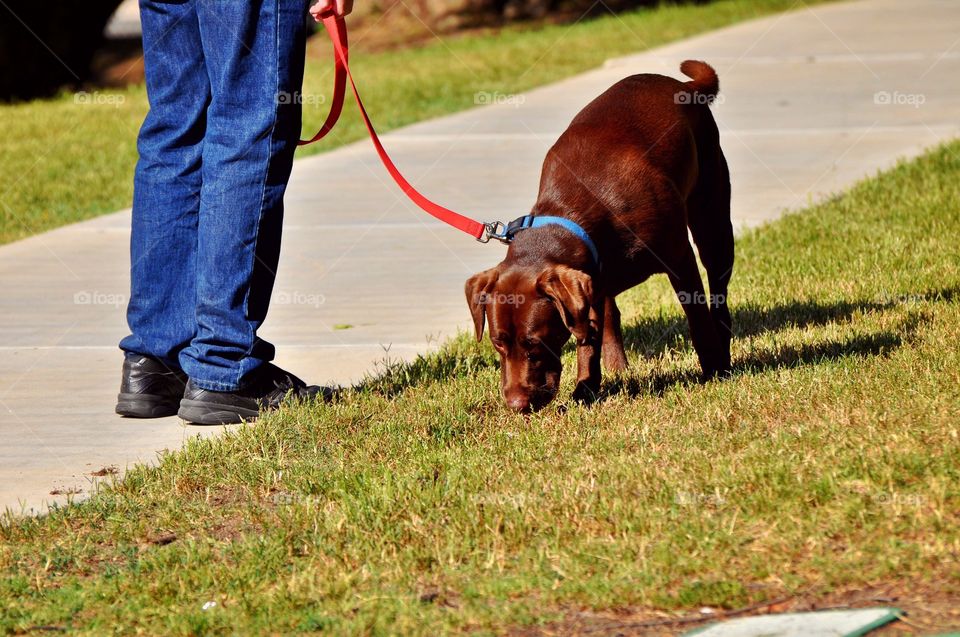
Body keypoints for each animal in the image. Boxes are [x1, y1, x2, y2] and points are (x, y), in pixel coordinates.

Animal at [466, 60, 736, 412]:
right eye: (498, 343)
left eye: (535, 344)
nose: (517, 405)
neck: (572, 213)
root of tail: (684, 87)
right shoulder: (587, 285)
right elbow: (588, 336)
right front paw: (585, 388)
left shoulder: (679, 257)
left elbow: (697, 316)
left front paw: (714, 369)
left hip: (712, 218)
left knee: (718, 289)